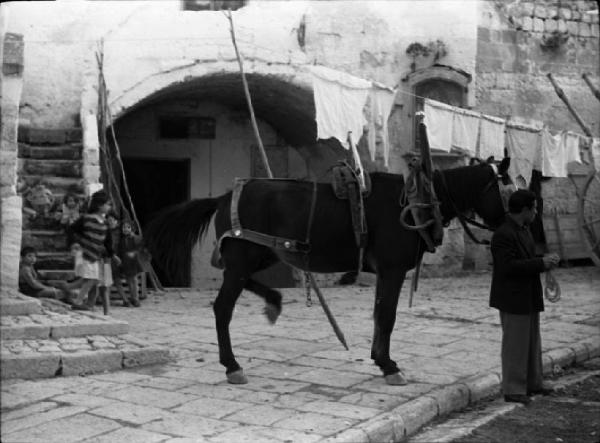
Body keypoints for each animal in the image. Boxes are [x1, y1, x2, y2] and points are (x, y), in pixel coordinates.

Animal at [143, 158, 512, 386]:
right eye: (506, 190)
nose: (508, 224)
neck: (415, 202)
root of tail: (222, 197)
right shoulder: (392, 269)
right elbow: (388, 316)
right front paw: (389, 366)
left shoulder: (384, 273)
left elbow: (379, 314)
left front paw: (379, 359)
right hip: (244, 257)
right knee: (223, 308)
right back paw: (232, 365)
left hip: (262, 253)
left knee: (248, 283)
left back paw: (274, 302)